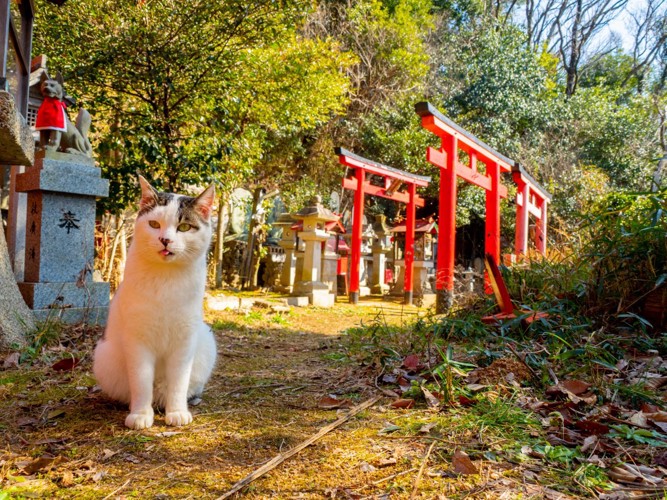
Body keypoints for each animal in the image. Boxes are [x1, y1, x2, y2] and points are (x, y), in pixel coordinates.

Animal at [93, 176, 217, 430]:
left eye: (184, 227)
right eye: (154, 224)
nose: (165, 240)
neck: (165, 279)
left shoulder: (184, 340)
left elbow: (178, 382)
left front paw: (177, 412)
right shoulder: (138, 340)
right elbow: (141, 381)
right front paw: (140, 415)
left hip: (206, 342)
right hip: (103, 355)